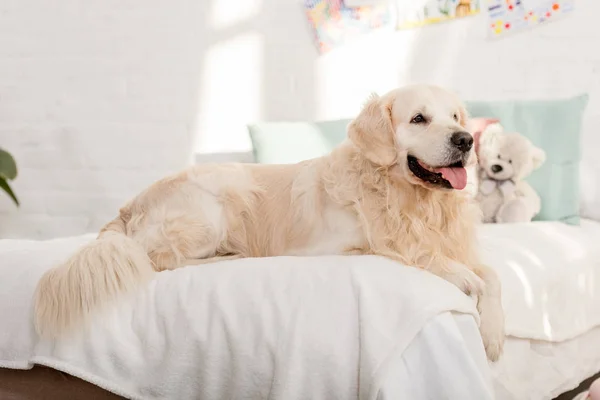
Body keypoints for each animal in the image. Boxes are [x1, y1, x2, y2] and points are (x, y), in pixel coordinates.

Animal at [31, 83, 502, 360]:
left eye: (455, 117)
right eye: (419, 118)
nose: (465, 141)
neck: (412, 199)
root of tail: (129, 206)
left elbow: (493, 275)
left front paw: (494, 336)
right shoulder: (372, 245)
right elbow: (460, 274)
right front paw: (483, 328)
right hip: (218, 201)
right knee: (159, 259)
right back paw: (227, 257)